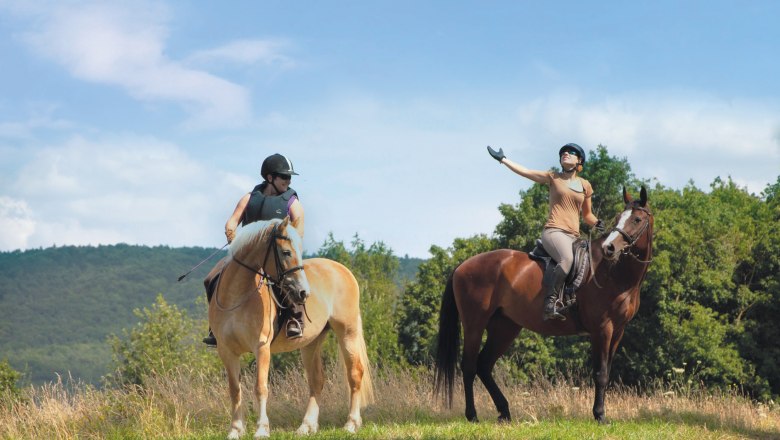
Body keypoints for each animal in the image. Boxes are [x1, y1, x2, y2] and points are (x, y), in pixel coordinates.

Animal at [209, 218, 374, 438]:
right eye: (286, 252)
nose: (304, 292)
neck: (237, 296)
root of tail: (342, 270)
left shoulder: (261, 347)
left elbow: (260, 387)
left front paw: (262, 429)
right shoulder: (226, 351)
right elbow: (235, 390)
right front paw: (235, 430)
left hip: (348, 332)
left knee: (354, 374)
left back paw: (351, 424)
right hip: (311, 343)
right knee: (316, 381)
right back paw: (307, 426)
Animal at [438, 186, 652, 422]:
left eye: (637, 219)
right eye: (619, 217)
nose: (610, 248)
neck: (612, 273)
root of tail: (463, 266)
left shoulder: (618, 331)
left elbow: (606, 371)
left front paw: (600, 414)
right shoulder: (602, 329)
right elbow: (601, 374)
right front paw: (599, 415)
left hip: (504, 327)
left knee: (484, 365)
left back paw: (504, 411)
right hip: (474, 325)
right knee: (469, 366)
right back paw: (473, 415)